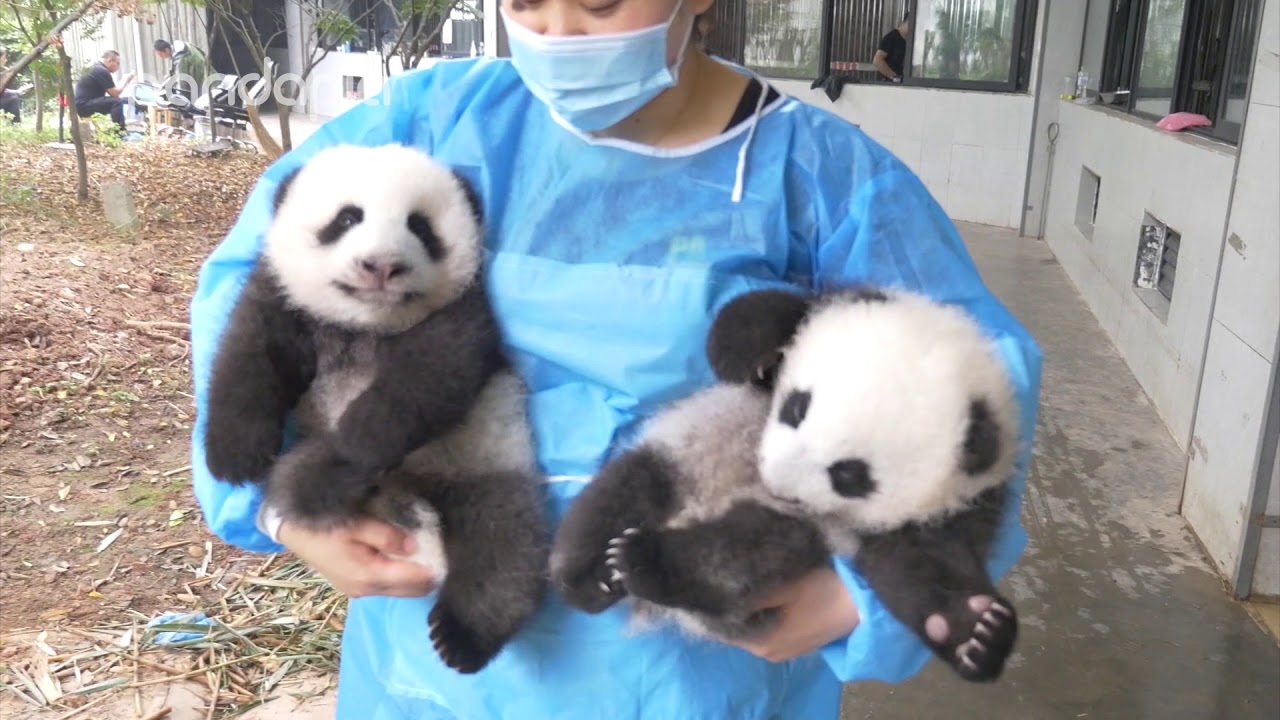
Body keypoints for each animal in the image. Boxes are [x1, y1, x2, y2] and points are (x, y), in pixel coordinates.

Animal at [202, 143, 549, 675]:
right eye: (347, 218)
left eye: (420, 227)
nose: (382, 265)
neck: (365, 324)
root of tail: (412, 492)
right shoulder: (280, 297)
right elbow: (248, 355)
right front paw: (234, 455)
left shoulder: (463, 314)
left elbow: (426, 381)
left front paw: (354, 443)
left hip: (488, 459)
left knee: (503, 545)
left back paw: (462, 635)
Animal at [550, 285, 1021, 683]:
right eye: (797, 407)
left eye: (849, 475)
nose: (774, 480)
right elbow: (745, 322)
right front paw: (764, 355)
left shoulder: (952, 503)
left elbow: (921, 566)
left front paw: (974, 629)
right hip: (676, 455)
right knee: (623, 492)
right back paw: (591, 578)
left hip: (786, 531)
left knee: (740, 554)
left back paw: (644, 561)